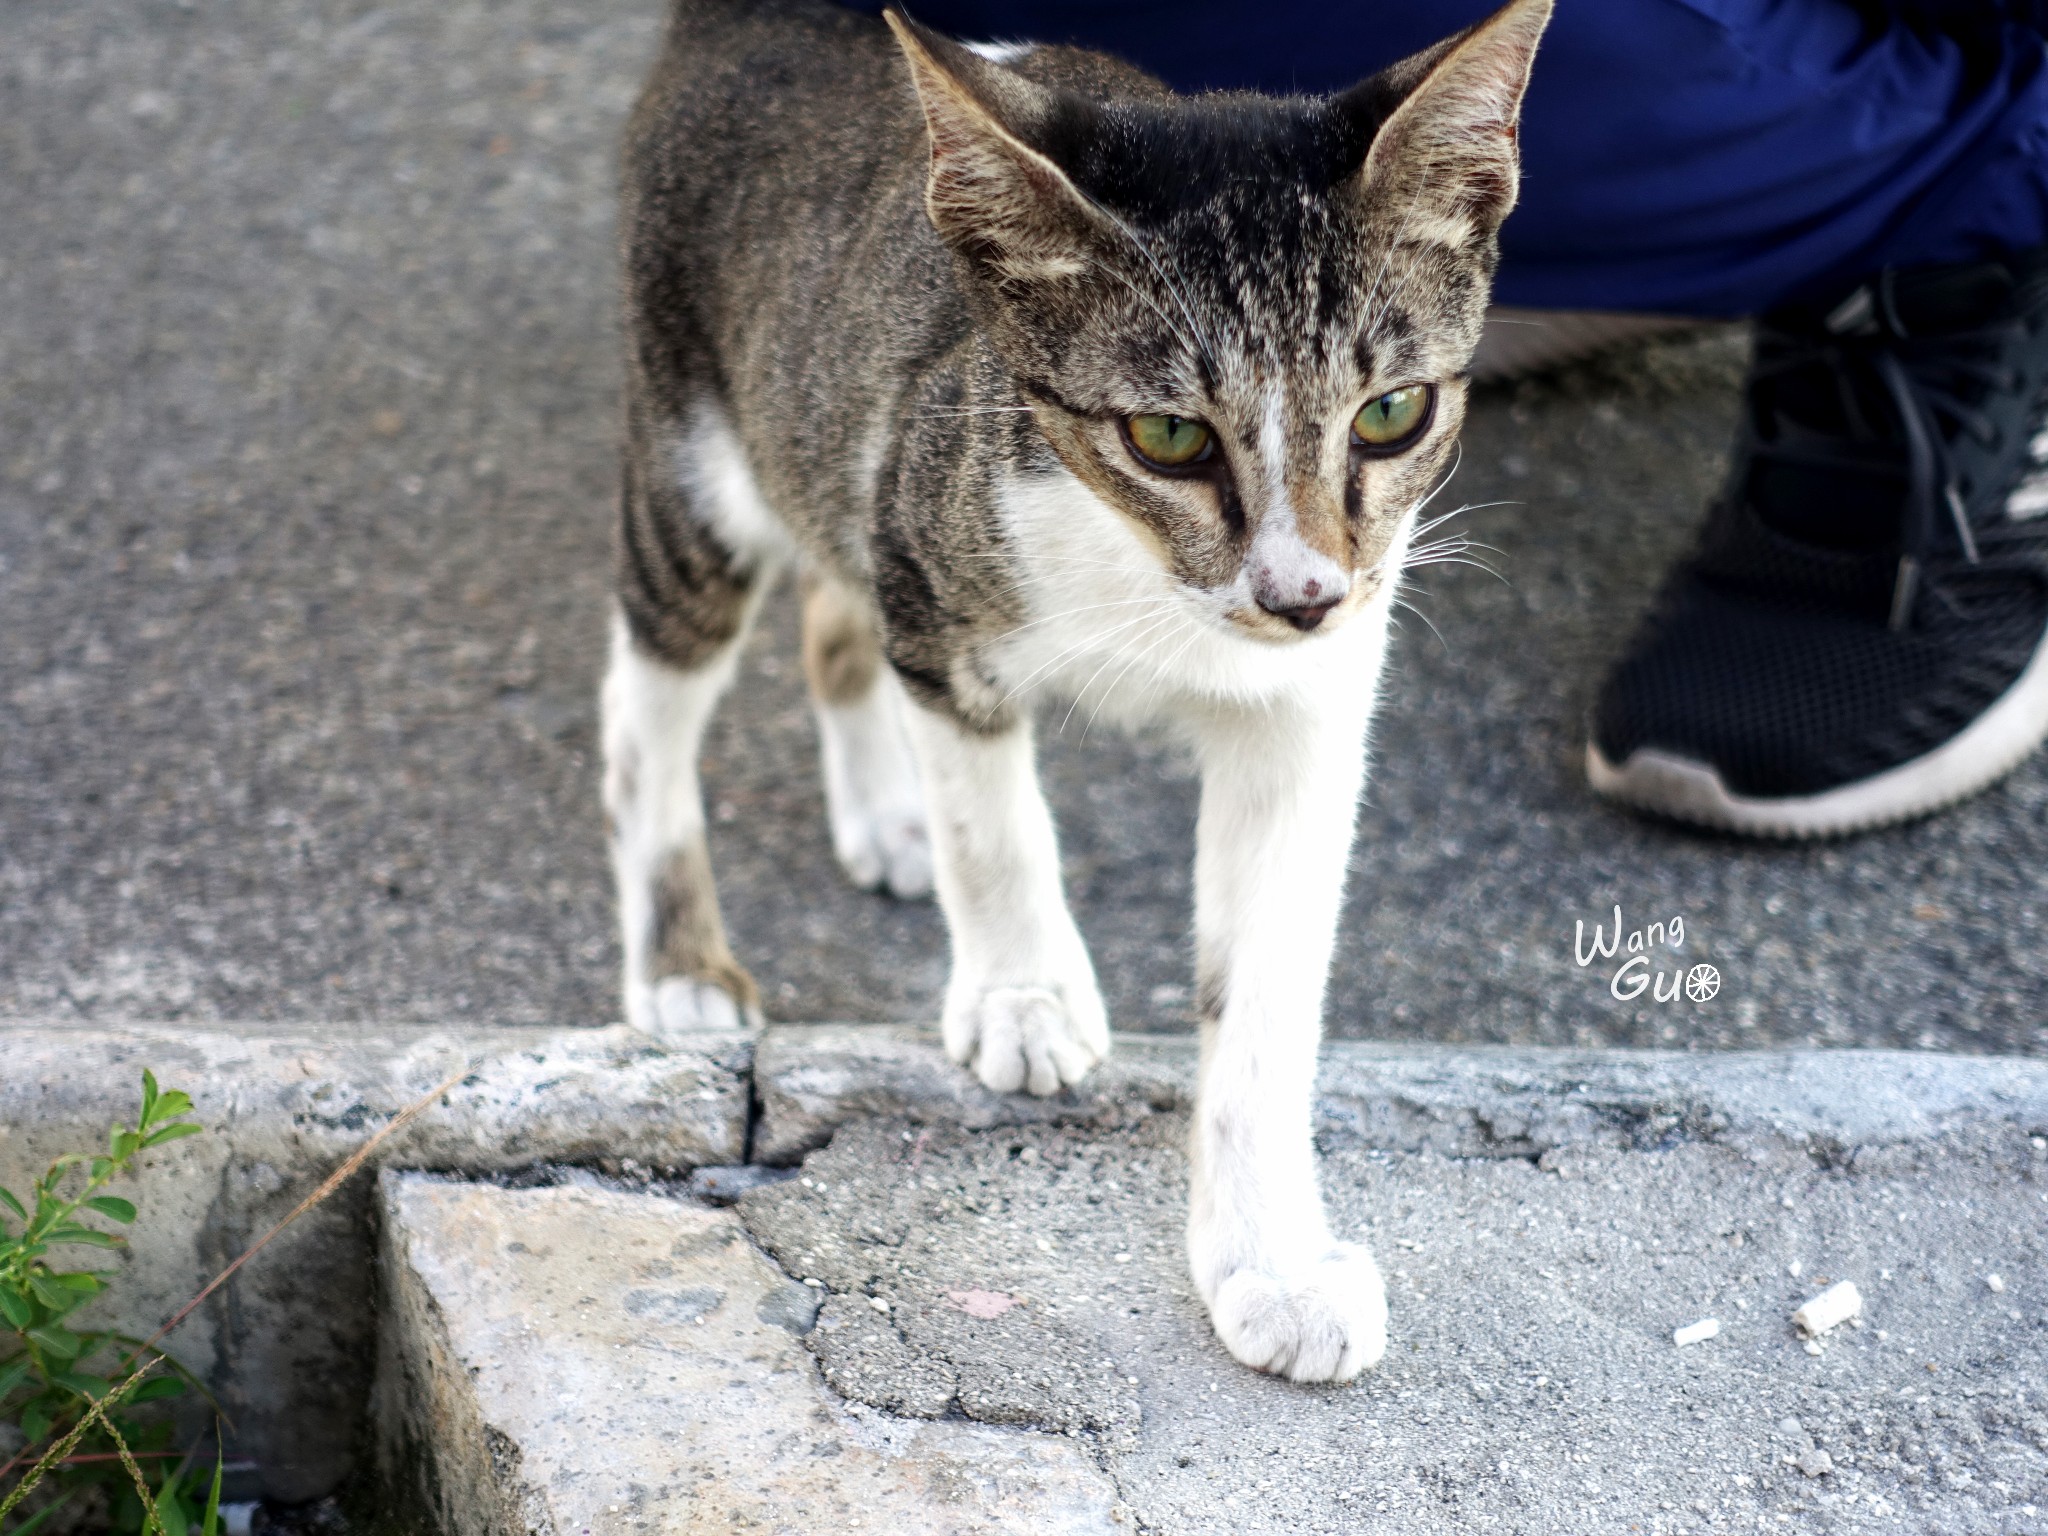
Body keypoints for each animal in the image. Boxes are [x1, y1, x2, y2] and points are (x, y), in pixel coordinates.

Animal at [606, 0, 1548, 1384]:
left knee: (834, 609)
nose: (1301, 594)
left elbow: (1265, 991)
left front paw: (1268, 1259)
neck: (1148, 581)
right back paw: (679, 961)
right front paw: (1023, 994)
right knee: (651, 701)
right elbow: (991, 826)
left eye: (1390, 413)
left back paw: (879, 815)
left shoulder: (1312, 703)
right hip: (697, 444)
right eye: (1167, 437)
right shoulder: (932, 568)